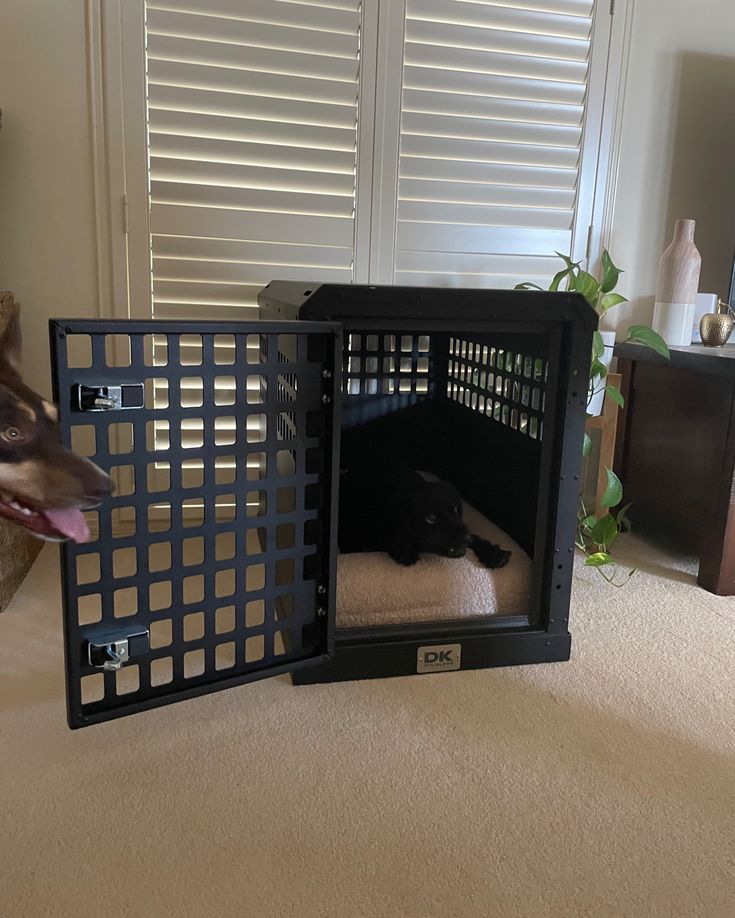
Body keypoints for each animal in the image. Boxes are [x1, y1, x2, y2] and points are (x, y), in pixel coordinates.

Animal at [340, 468, 512, 568]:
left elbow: (476, 537)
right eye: (431, 518)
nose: (466, 539)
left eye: (457, 510)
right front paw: (405, 550)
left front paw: (494, 553)